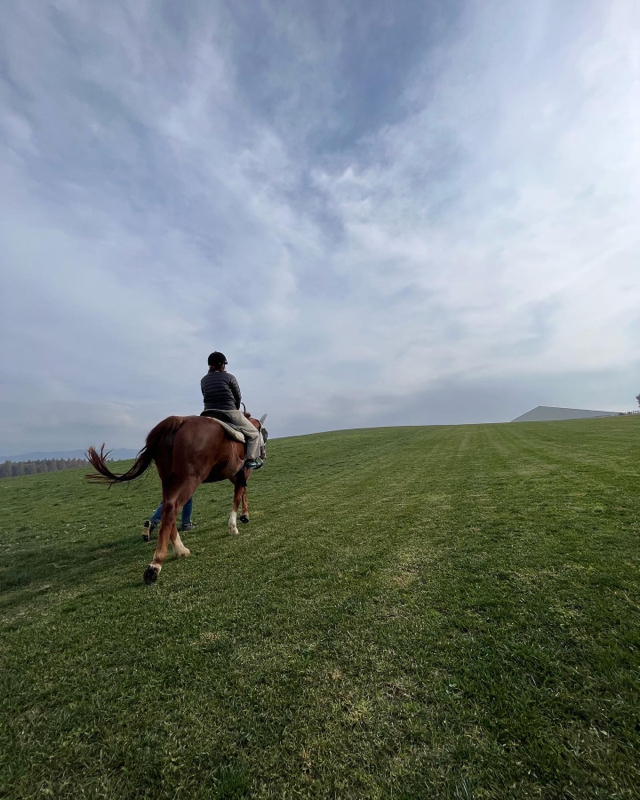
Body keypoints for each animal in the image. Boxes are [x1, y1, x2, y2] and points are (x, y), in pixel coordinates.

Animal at [86, 412, 266, 580]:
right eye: (263, 431)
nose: (263, 455)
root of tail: (177, 421)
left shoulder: (236, 475)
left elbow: (242, 493)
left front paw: (245, 515)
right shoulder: (243, 472)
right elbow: (237, 496)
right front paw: (234, 525)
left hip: (169, 480)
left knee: (167, 506)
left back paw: (179, 549)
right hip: (189, 480)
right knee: (173, 508)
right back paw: (156, 564)